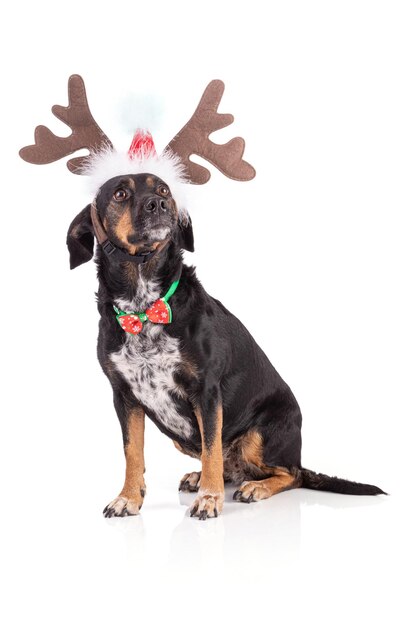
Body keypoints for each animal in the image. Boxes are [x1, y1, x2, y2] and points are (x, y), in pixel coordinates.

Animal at [66, 169, 386, 516]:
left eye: (164, 190)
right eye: (120, 194)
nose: (159, 204)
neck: (144, 304)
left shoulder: (206, 391)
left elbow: (211, 449)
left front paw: (209, 499)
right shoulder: (124, 396)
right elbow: (132, 452)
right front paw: (128, 498)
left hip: (261, 434)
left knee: (291, 474)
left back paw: (255, 487)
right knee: (232, 466)